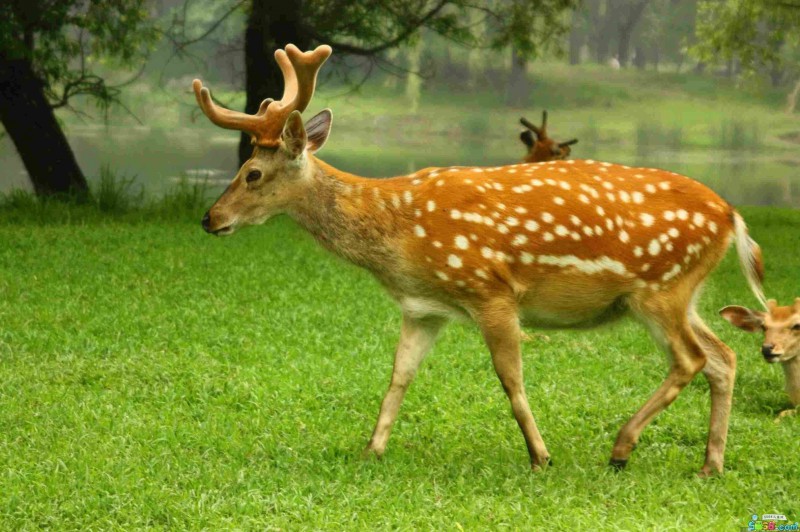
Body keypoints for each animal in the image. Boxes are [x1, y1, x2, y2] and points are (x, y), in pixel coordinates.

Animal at [194, 43, 768, 476]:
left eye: (252, 173)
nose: (210, 218)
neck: (398, 238)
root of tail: (732, 216)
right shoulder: (422, 307)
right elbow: (398, 376)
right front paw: (371, 450)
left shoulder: (490, 289)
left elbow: (510, 378)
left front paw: (540, 456)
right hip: (682, 293)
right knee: (724, 356)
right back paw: (710, 464)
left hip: (659, 287)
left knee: (691, 359)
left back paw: (622, 448)